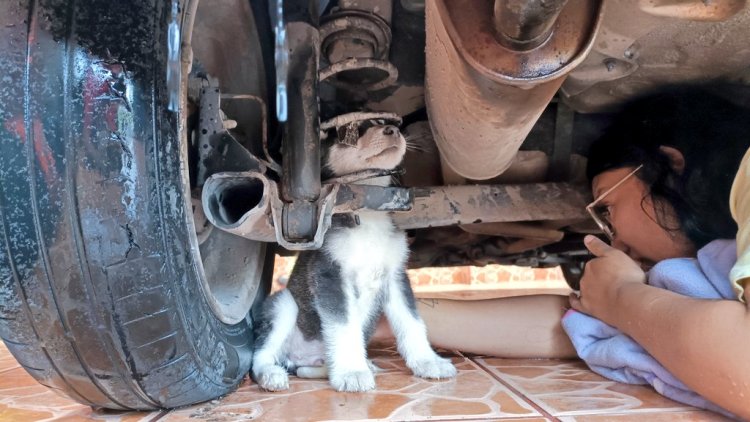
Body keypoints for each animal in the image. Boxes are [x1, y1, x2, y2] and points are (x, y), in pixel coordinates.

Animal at [253, 122, 458, 392]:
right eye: (351, 130)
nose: (393, 130)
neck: (368, 215)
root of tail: (303, 359)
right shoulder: (330, 276)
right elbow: (344, 326)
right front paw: (352, 371)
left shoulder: (395, 277)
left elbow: (412, 322)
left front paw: (428, 362)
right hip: (284, 304)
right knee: (261, 354)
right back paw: (271, 374)